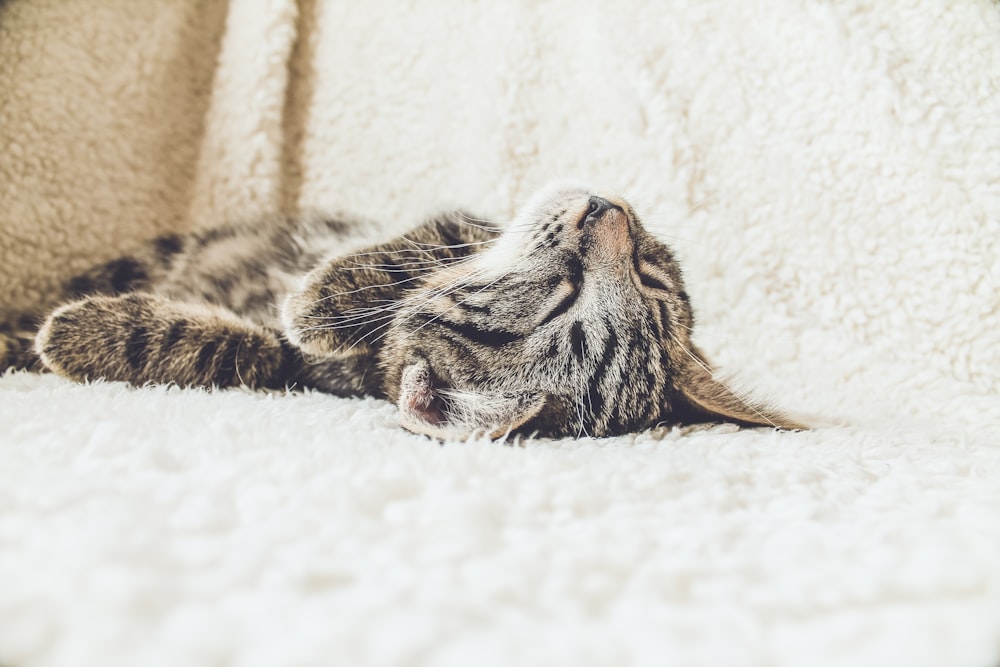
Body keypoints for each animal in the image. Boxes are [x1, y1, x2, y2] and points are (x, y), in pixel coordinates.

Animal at [0, 185, 796, 440]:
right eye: (650, 276)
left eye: (561, 294)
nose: (608, 210)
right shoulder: (457, 219)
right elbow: (414, 248)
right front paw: (321, 299)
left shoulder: (291, 369)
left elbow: (240, 351)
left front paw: (77, 336)